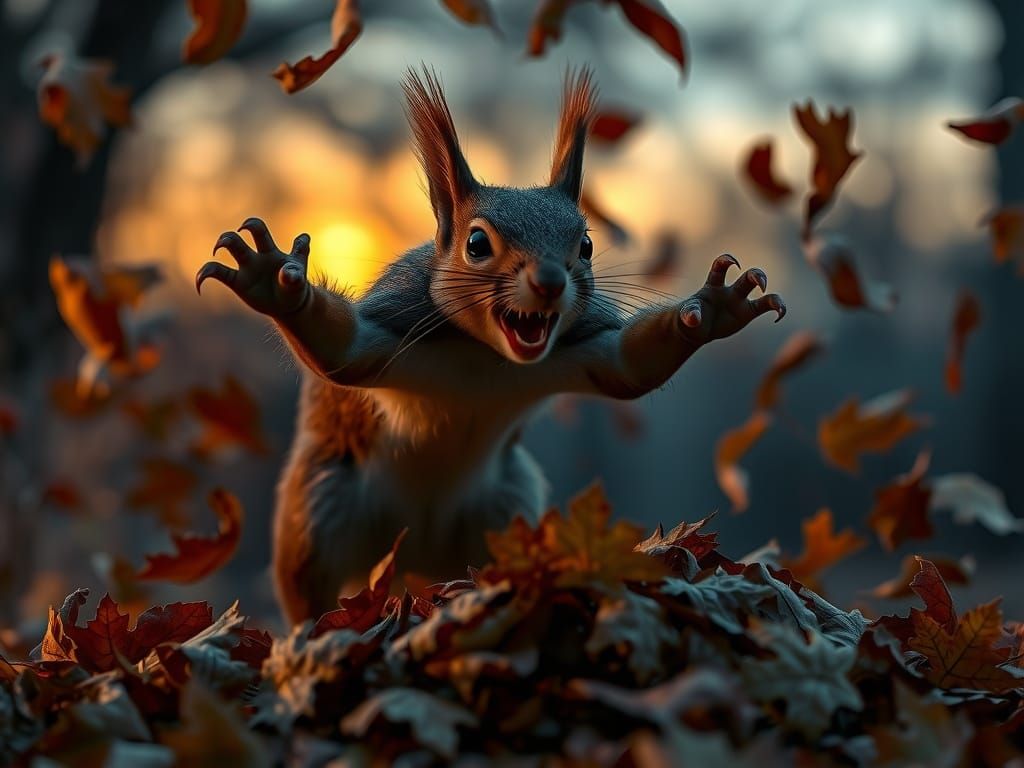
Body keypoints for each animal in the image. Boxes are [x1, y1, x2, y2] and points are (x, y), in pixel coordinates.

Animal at [196, 67, 785, 625]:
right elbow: (342, 351)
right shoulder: (396, 327)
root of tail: (415, 553)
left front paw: (712, 310)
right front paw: (276, 284)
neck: (485, 355)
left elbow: (631, 369)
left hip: (502, 516)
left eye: (586, 245)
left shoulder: (581, 348)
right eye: (477, 243)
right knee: (310, 594)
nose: (550, 281)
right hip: (321, 513)